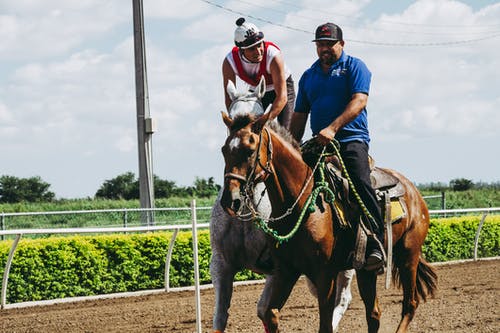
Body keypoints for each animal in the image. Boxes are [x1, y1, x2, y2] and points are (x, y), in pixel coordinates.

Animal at [210, 77, 356, 330]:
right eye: (224, 147)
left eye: (260, 115)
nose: (232, 199)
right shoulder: (221, 264)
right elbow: (219, 318)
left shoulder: (277, 269)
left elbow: (263, 310)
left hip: (343, 265)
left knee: (343, 297)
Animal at [221, 113, 436, 330]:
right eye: (224, 151)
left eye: (250, 151)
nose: (230, 200)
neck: (302, 201)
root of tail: (413, 191)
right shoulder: (286, 271)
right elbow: (270, 315)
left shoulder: (325, 275)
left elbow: (325, 324)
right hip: (366, 270)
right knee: (374, 313)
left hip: (409, 255)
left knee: (410, 303)